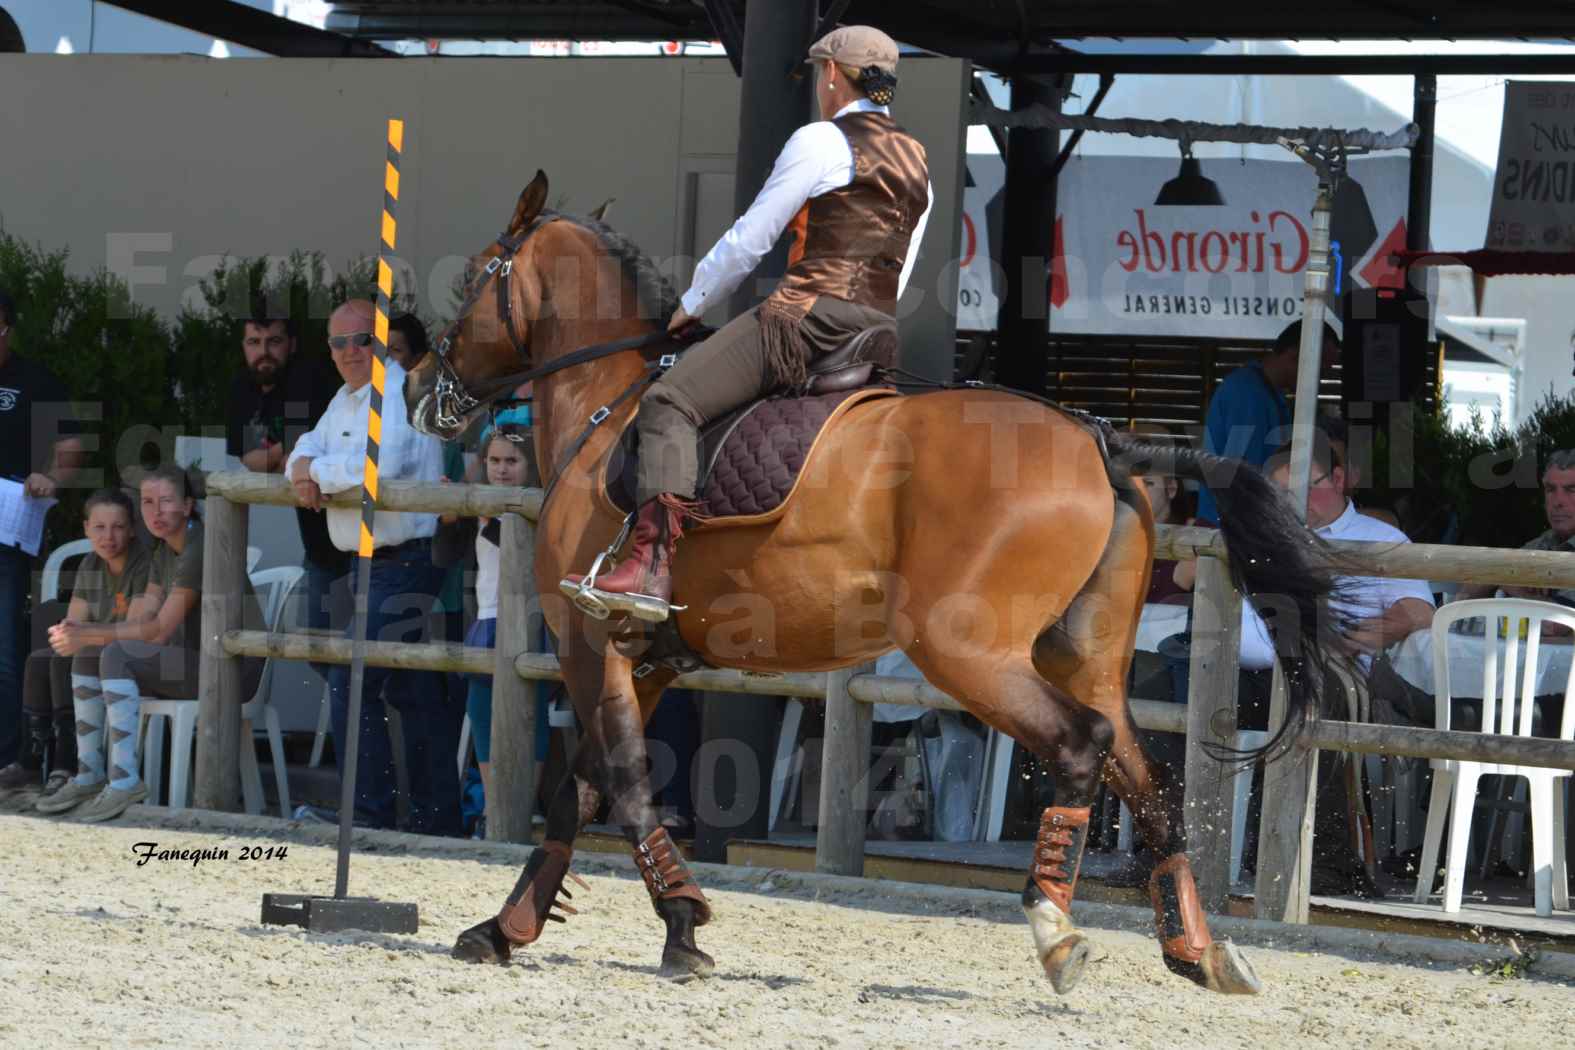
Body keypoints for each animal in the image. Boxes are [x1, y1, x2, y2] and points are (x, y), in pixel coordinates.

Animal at [400, 176, 1348, 1001]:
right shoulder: (650, 655)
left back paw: (1055, 929)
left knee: (1079, 747)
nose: (416, 387)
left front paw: (680, 922)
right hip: (1080, 657)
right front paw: (505, 928)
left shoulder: (590, 640)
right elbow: (581, 790)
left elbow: (623, 785)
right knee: (1145, 785)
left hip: (965, 651)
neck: (610, 406)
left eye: (479, 273)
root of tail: (1100, 441)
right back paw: (1195, 948)